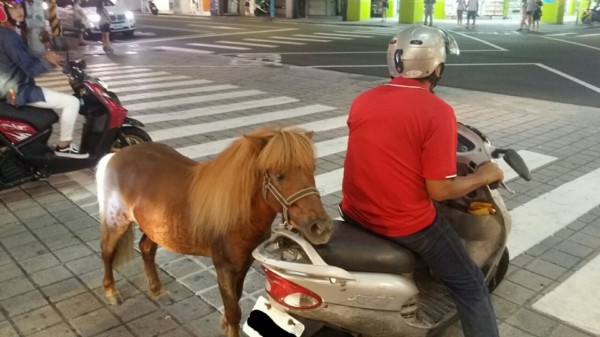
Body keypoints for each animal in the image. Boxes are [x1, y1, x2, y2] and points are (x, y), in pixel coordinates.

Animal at [96, 126, 336, 336]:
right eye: (279, 175)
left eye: (312, 169)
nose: (321, 228)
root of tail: (116, 155)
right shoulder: (224, 267)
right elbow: (233, 312)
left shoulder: (242, 264)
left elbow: (235, 300)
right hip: (117, 222)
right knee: (107, 251)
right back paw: (111, 291)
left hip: (155, 228)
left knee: (146, 249)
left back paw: (156, 289)